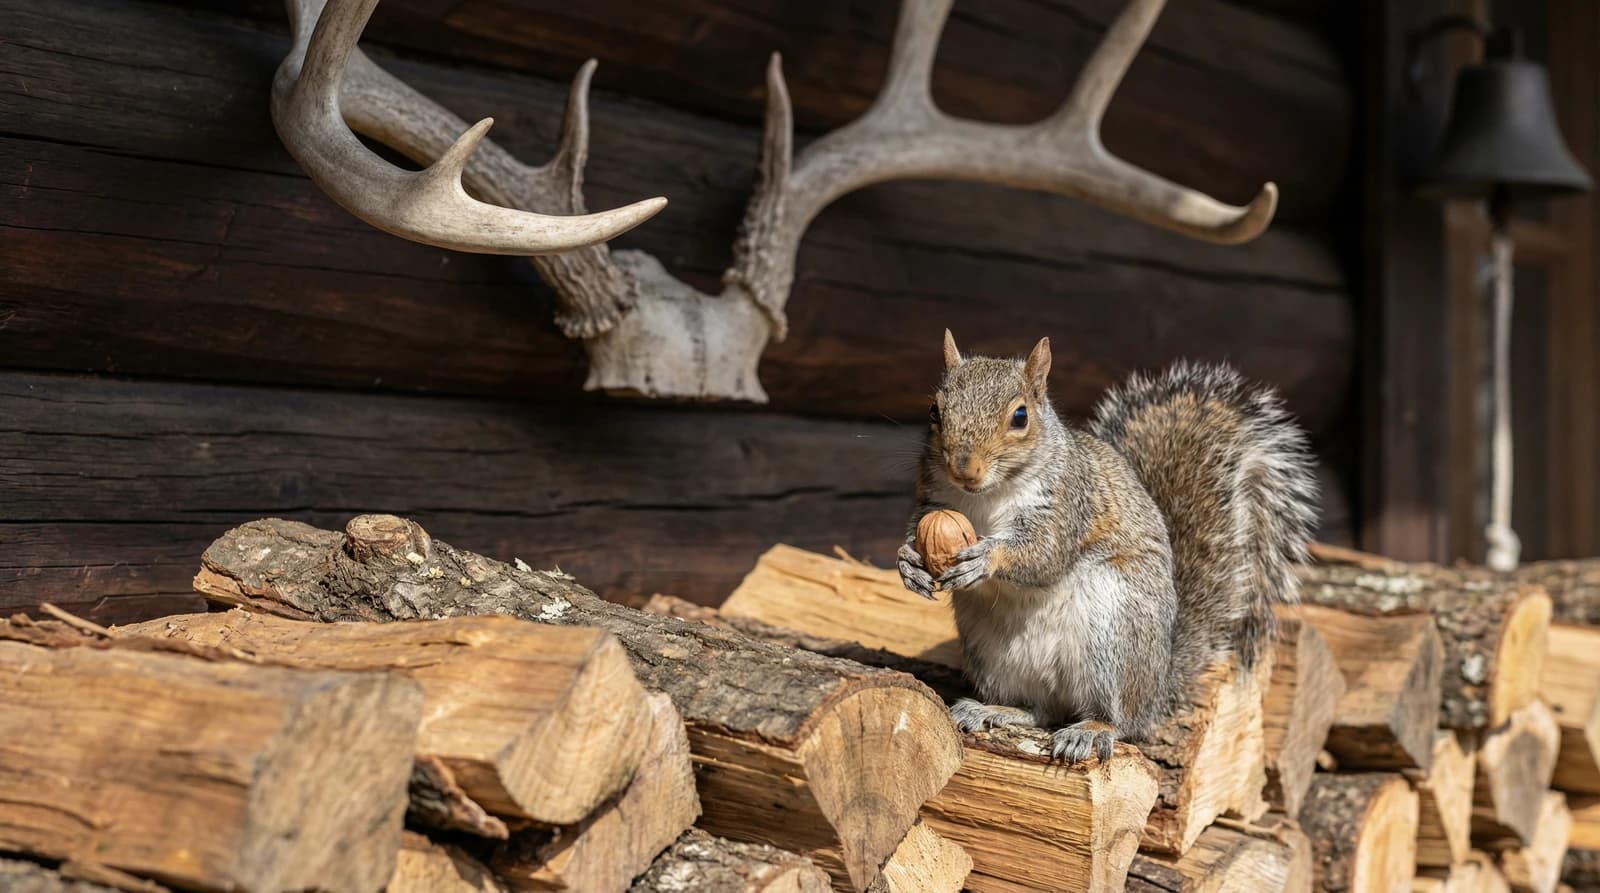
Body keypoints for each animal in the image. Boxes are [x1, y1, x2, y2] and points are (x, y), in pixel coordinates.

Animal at [897, 331, 1317, 762]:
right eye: (934, 411)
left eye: (1020, 417)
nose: (963, 469)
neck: (986, 496)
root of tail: (1157, 690)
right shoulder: (932, 500)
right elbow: (916, 530)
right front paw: (909, 562)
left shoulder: (1068, 502)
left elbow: (1044, 555)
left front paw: (985, 557)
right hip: (993, 654)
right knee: (1040, 710)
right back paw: (994, 709)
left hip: (1113, 632)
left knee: (1117, 718)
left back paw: (1092, 729)